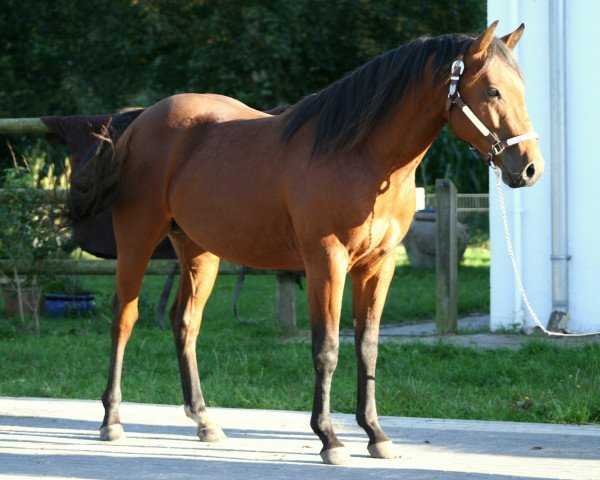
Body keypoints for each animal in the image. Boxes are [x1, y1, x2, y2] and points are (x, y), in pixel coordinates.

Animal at [67, 22, 544, 464]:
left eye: (522, 89)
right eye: (493, 90)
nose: (529, 168)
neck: (361, 156)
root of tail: (141, 119)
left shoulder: (379, 265)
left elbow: (367, 347)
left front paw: (376, 434)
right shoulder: (325, 262)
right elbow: (327, 348)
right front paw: (329, 438)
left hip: (199, 251)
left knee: (185, 322)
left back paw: (204, 420)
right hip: (138, 238)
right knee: (124, 318)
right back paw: (112, 419)